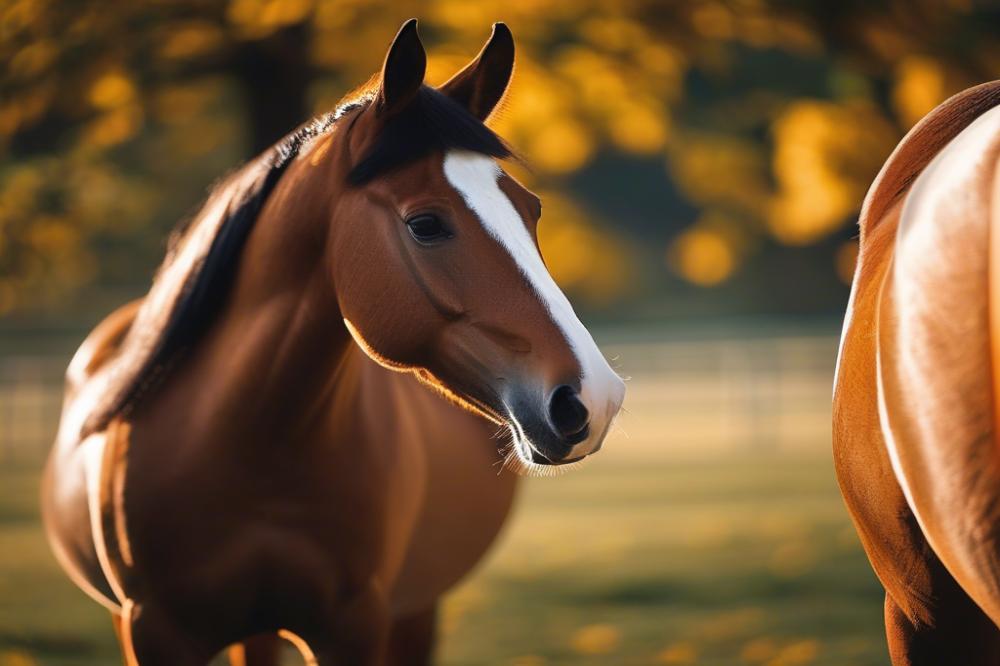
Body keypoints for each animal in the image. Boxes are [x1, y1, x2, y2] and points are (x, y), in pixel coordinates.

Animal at [41, 19, 624, 660]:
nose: (594, 398)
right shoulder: (151, 629)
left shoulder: (355, 622)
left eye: (532, 209)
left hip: (415, 609)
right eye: (425, 224)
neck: (249, 442)